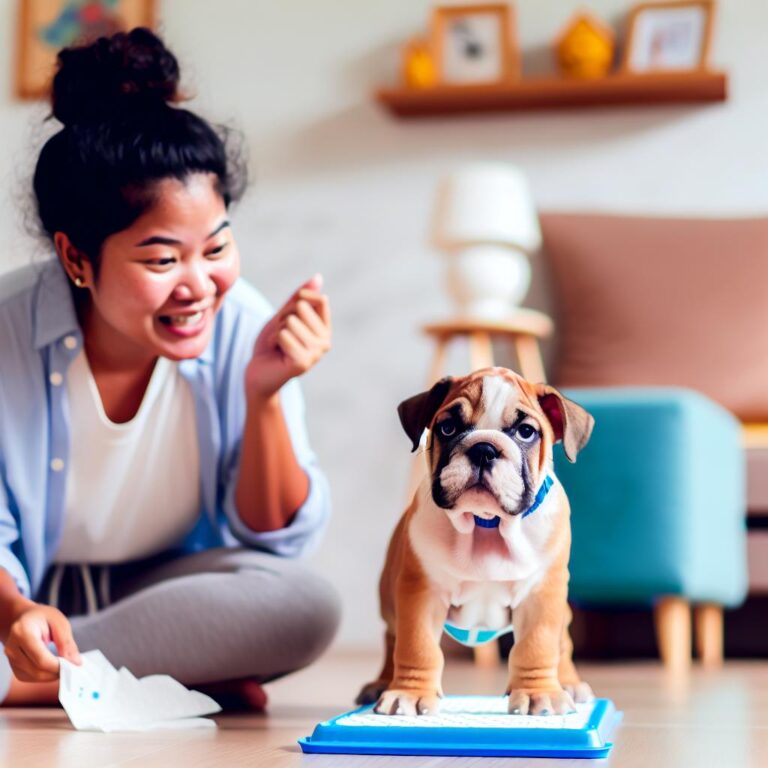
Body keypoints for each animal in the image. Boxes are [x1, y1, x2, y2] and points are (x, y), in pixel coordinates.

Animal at [358, 368, 592, 716]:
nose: (484, 448)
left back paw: (568, 683)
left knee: (562, 641)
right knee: (392, 637)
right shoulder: (421, 591)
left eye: (526, 432)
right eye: (448, 427)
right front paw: (409, 694)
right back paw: (381, 683)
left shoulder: (541, 594)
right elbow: (416, 646)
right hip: (389, 599)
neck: (486, 523)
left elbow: (538, 645)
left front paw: (539, 693)